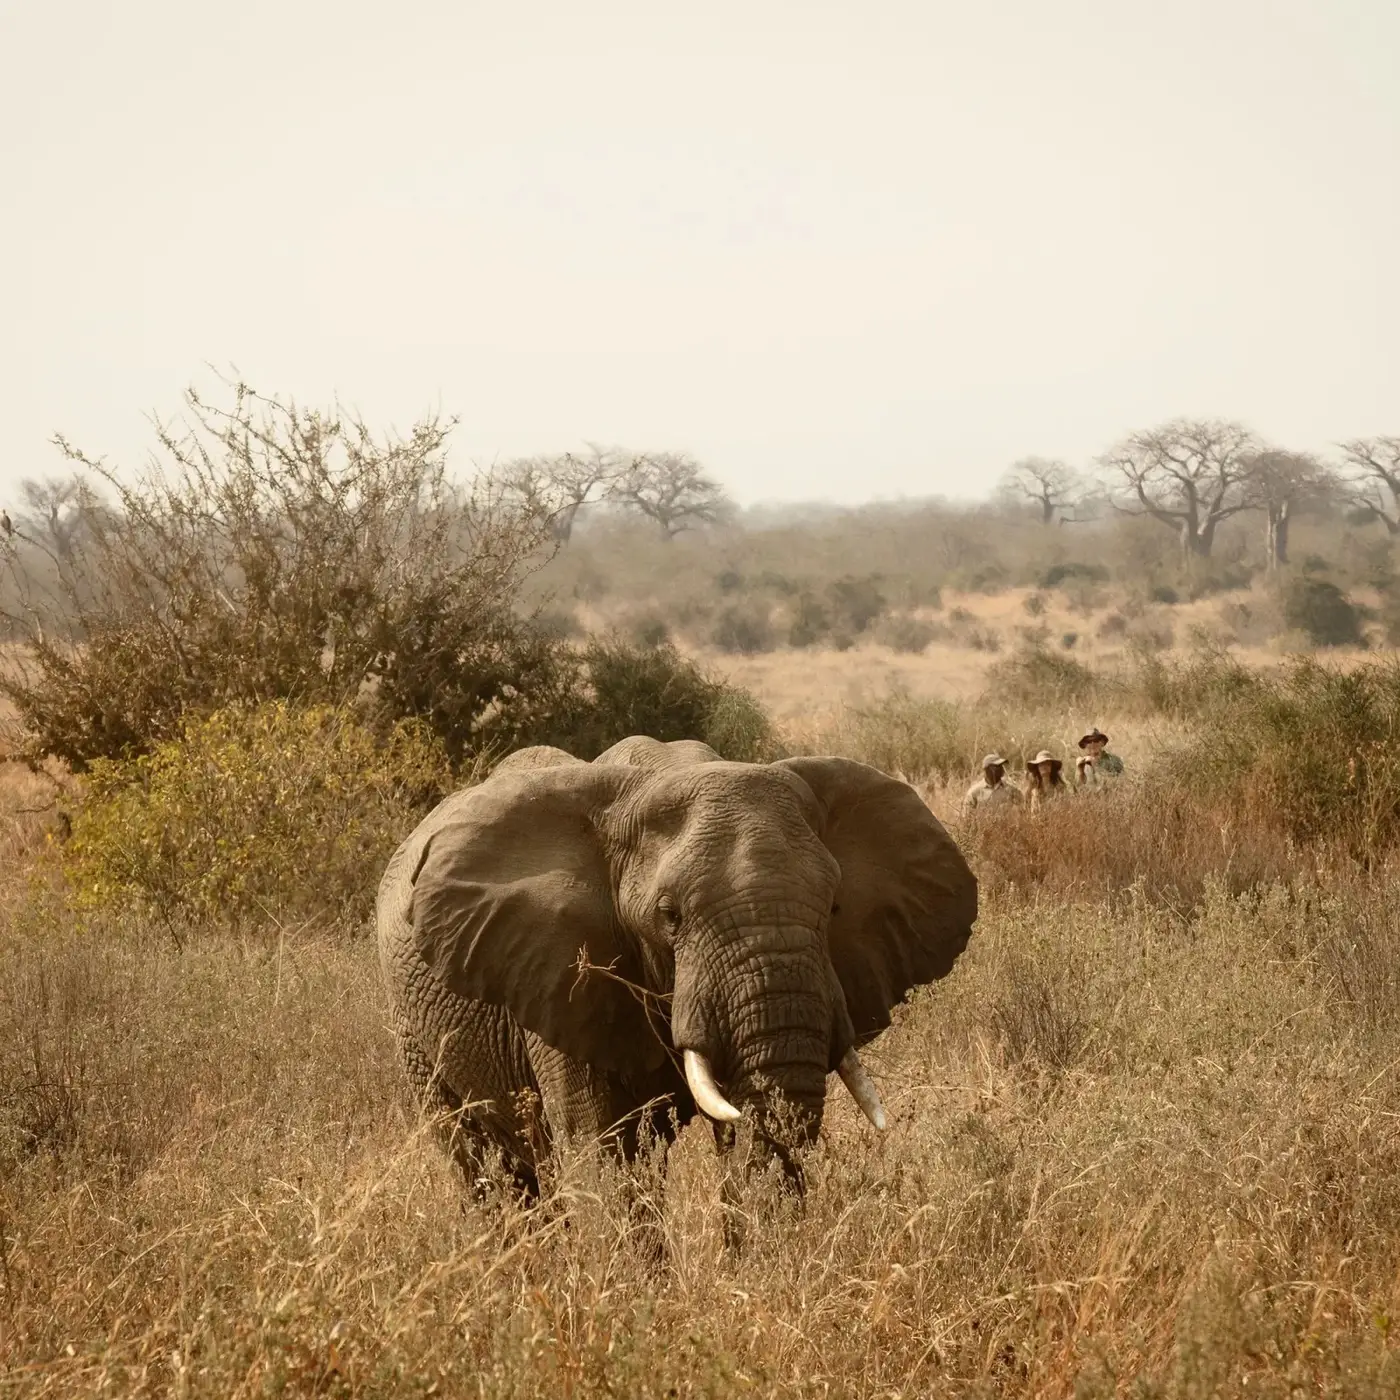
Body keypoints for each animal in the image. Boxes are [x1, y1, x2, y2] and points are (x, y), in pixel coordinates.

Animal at [375, 734, 977, 1211]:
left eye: (833, 908)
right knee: (484, 1166)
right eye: (670, 916)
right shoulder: (559, 976)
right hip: (413, 1034)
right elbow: (601, 1154)